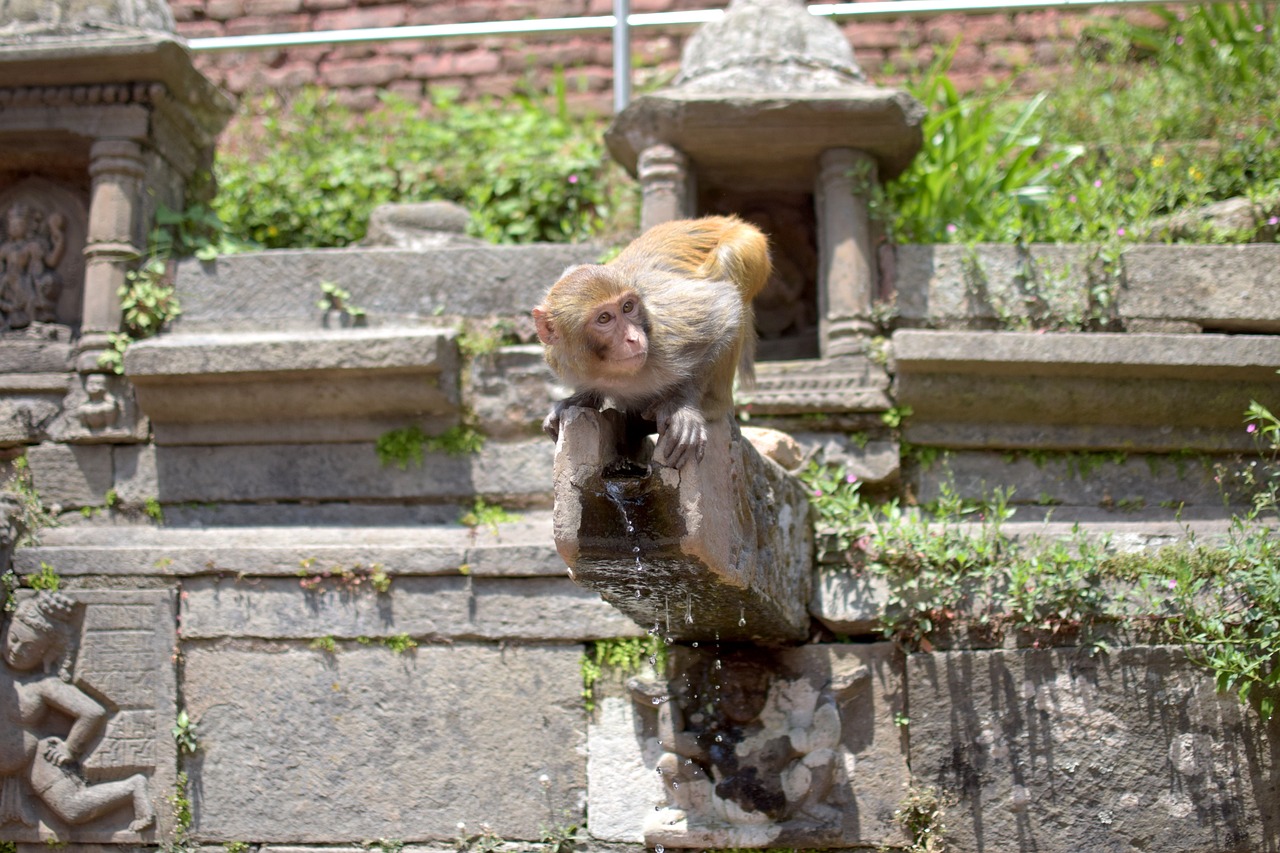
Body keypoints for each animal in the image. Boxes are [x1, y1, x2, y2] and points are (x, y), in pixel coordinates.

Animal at [532, 212, 768, 466]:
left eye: (627, 307)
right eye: (604, 318)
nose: (634, 338)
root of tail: (724, 220)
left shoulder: (667, 337)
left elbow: (725, 308)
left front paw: (681, 405)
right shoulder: (558, 357)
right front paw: (580, 399)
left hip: (751, 246)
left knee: (727, 263)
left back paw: (714, 404)